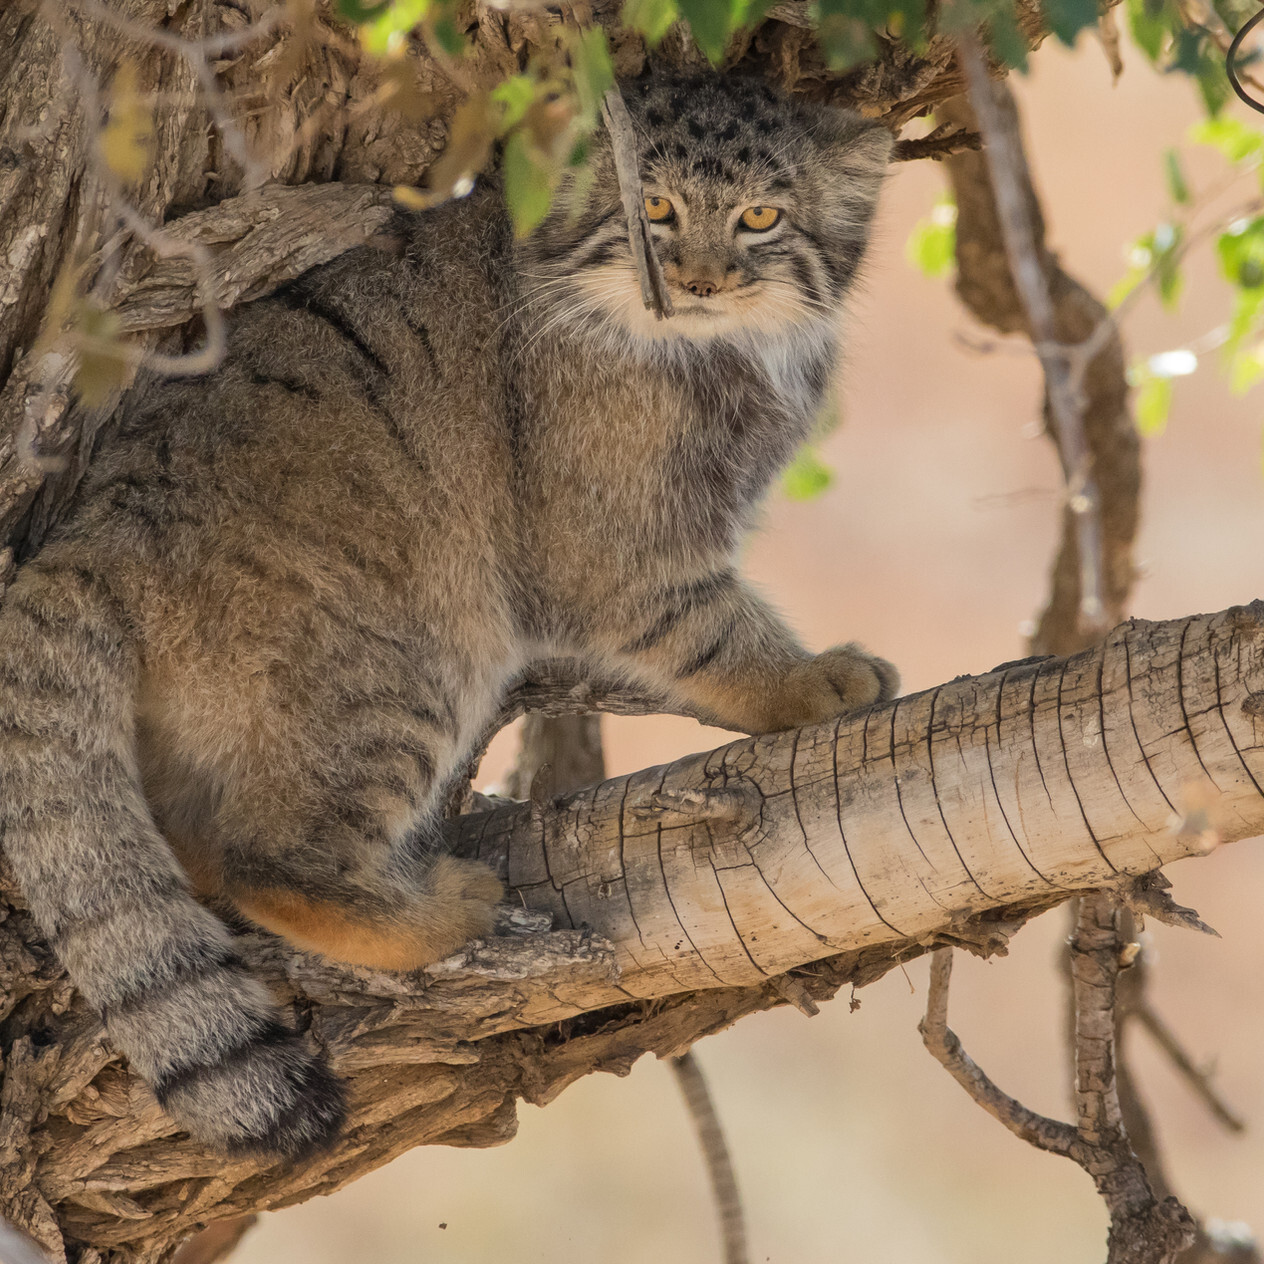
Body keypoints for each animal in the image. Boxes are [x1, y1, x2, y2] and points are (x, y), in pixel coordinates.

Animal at [0, 69, 899, 1157]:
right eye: (652, 209)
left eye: (760, 218)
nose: (696, 282)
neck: (724, 348)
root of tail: (97, 527)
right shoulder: (613, 547)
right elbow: (712, 629)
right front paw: (808, 683)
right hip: (412, 648)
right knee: (271, 860)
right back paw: (437, 912)